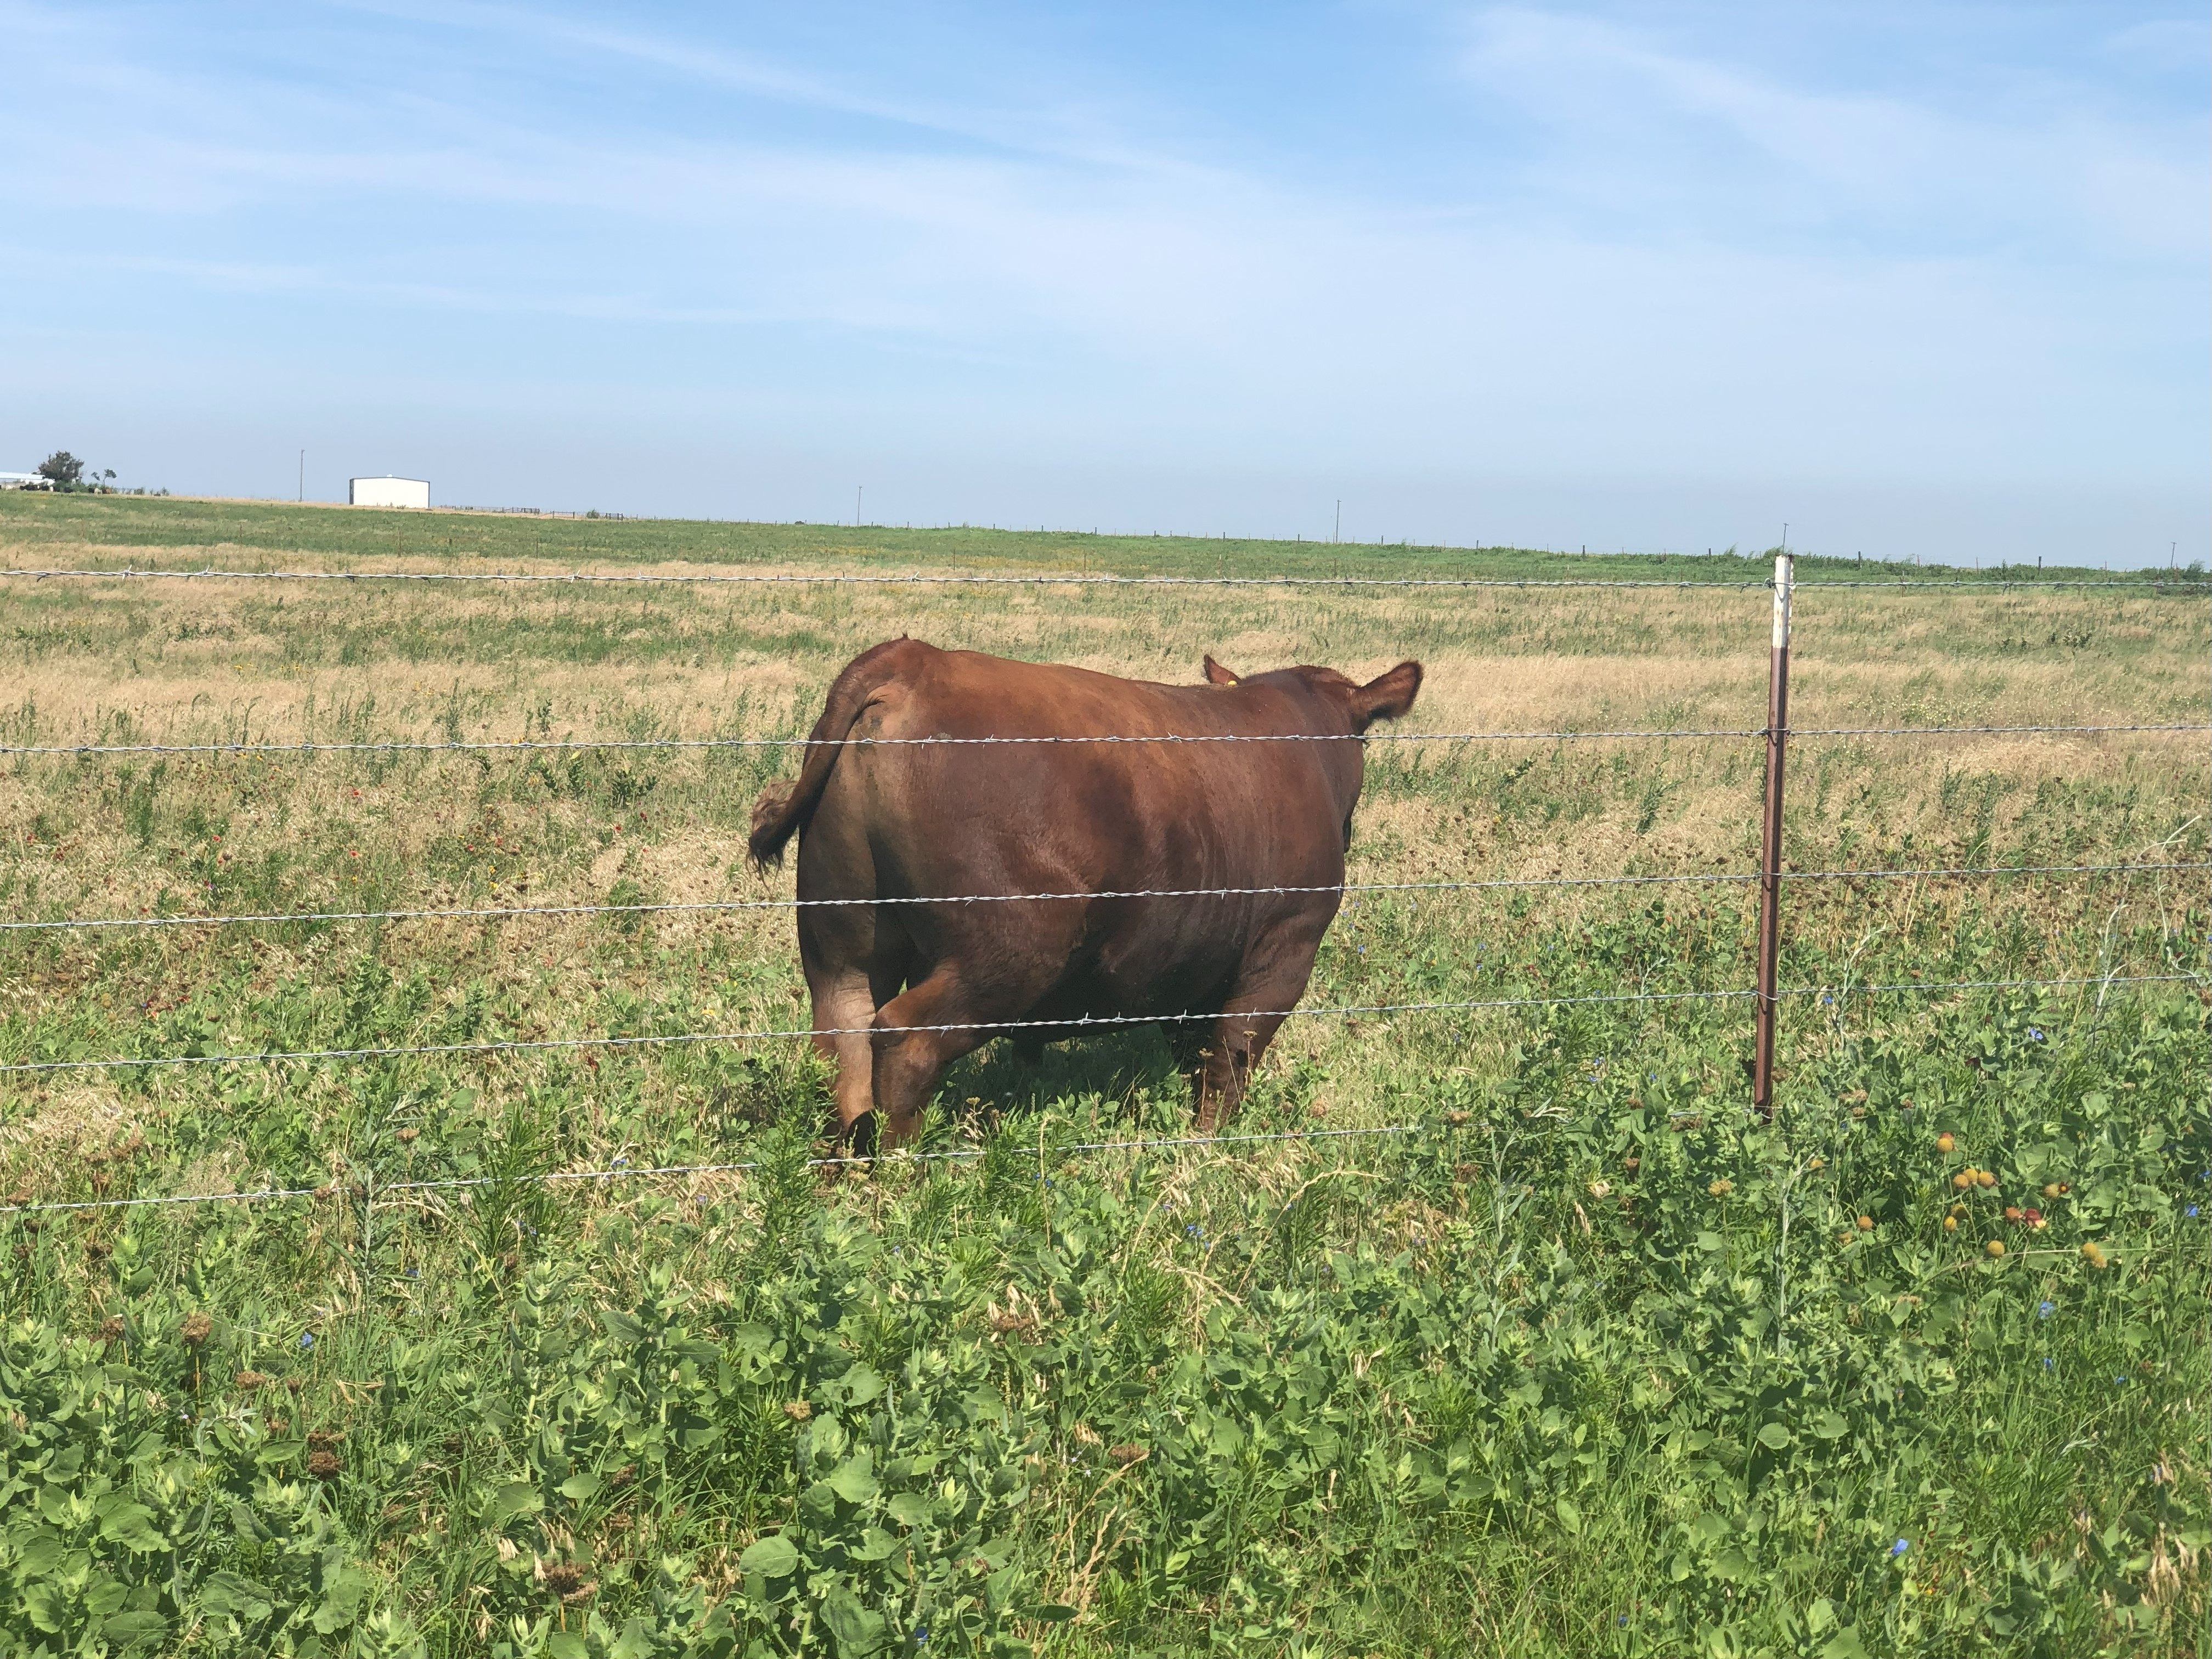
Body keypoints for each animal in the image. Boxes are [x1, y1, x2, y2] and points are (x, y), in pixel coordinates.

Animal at [752, 641, 1424, 1150]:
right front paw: (1209, 1152)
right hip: (1007, 952)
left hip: (843, 941)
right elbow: (1229, 1062)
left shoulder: (1190, 964)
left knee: (843, 1043)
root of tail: (914, 661)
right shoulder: (1284, 949)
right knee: (905, 1041)